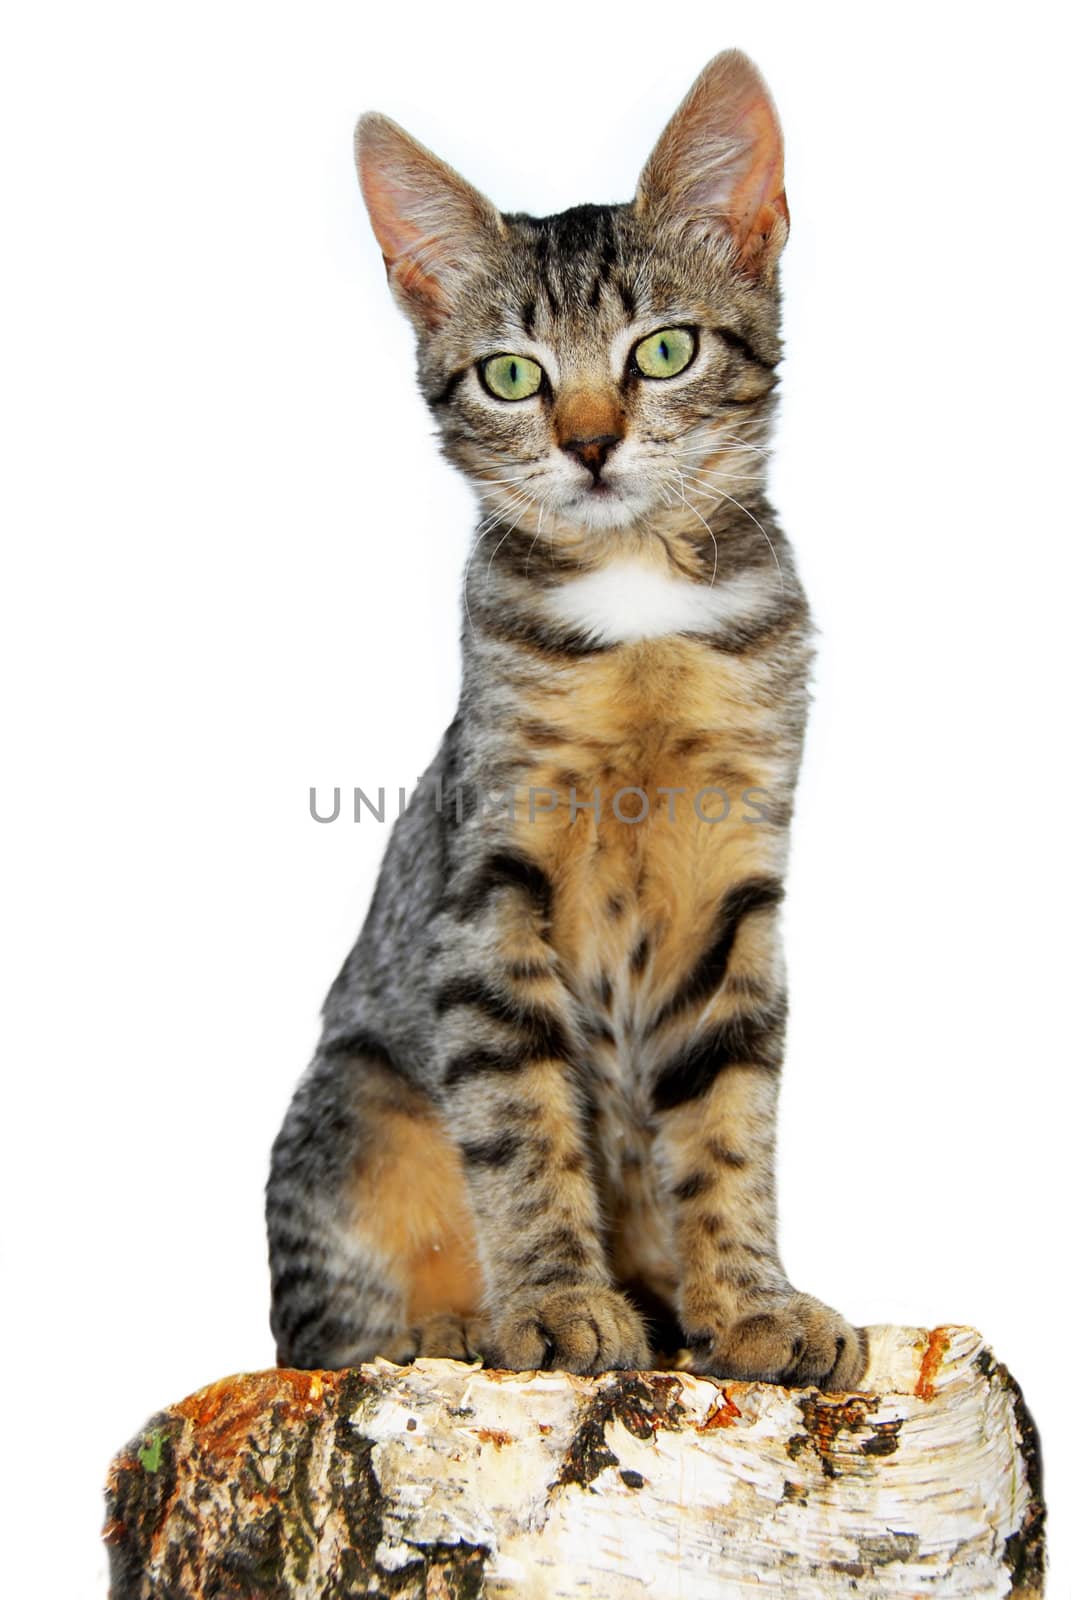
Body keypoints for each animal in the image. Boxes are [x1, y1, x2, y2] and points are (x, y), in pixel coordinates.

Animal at [267, 50, 870, 1395]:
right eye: (511, 374)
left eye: (665, 349)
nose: (591, 443)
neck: (639, 600)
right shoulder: (488, 890)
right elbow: (517, 1121)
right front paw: (552, 1304)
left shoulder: (737, 888)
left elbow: (730, 1120)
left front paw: (751, 1303)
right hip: (351, 1110)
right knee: (317, 1331)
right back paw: (448, 1330)